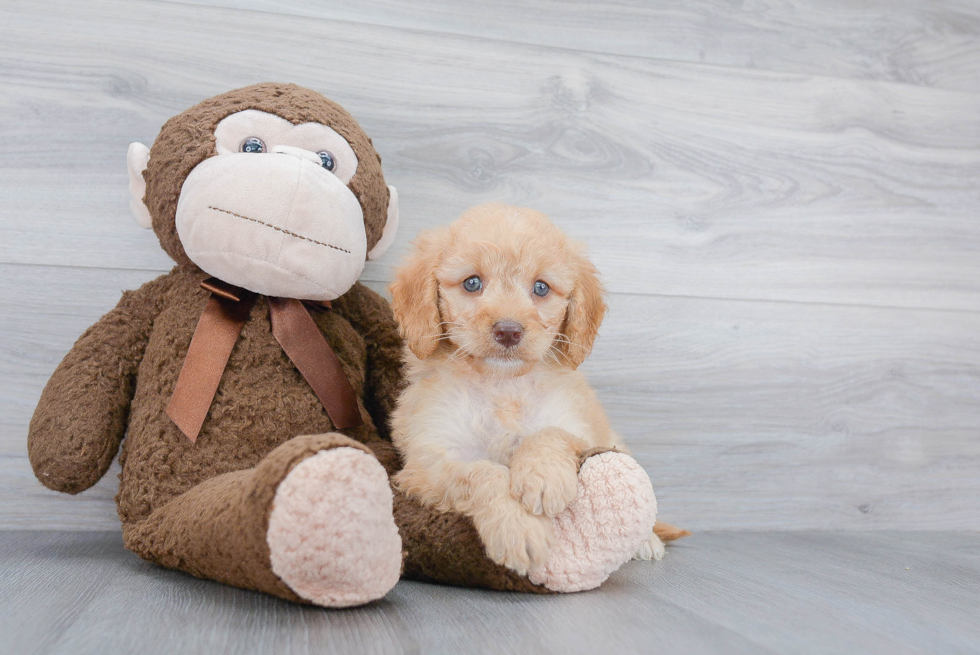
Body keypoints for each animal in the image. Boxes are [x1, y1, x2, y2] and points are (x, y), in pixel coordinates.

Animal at [386, 202, 684, 576]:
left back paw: (647, 541)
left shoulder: (579, 428)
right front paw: (519, 528)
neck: (501, 385)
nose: (509, 331)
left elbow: (549, 433)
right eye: (472, 283)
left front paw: (543, 479)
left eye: (541, 288)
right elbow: (482, 473)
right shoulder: (427, 462)